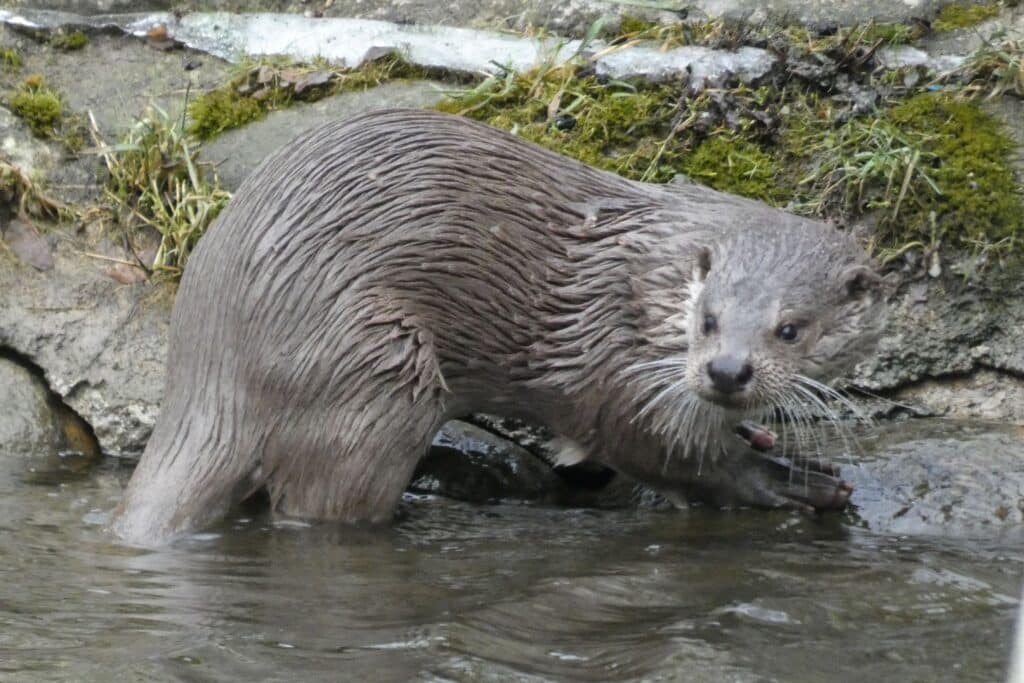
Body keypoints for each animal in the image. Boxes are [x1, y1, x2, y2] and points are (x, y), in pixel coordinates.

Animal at [108, 109, 884, 544]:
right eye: (708, 317)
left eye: (792, 329)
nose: (726, 372)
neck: (646, 282)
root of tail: (211, 361)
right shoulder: (617, 364)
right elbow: (661, 450)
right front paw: (787, 479)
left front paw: (763, 437)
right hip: (373, 366)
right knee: (317, 501)